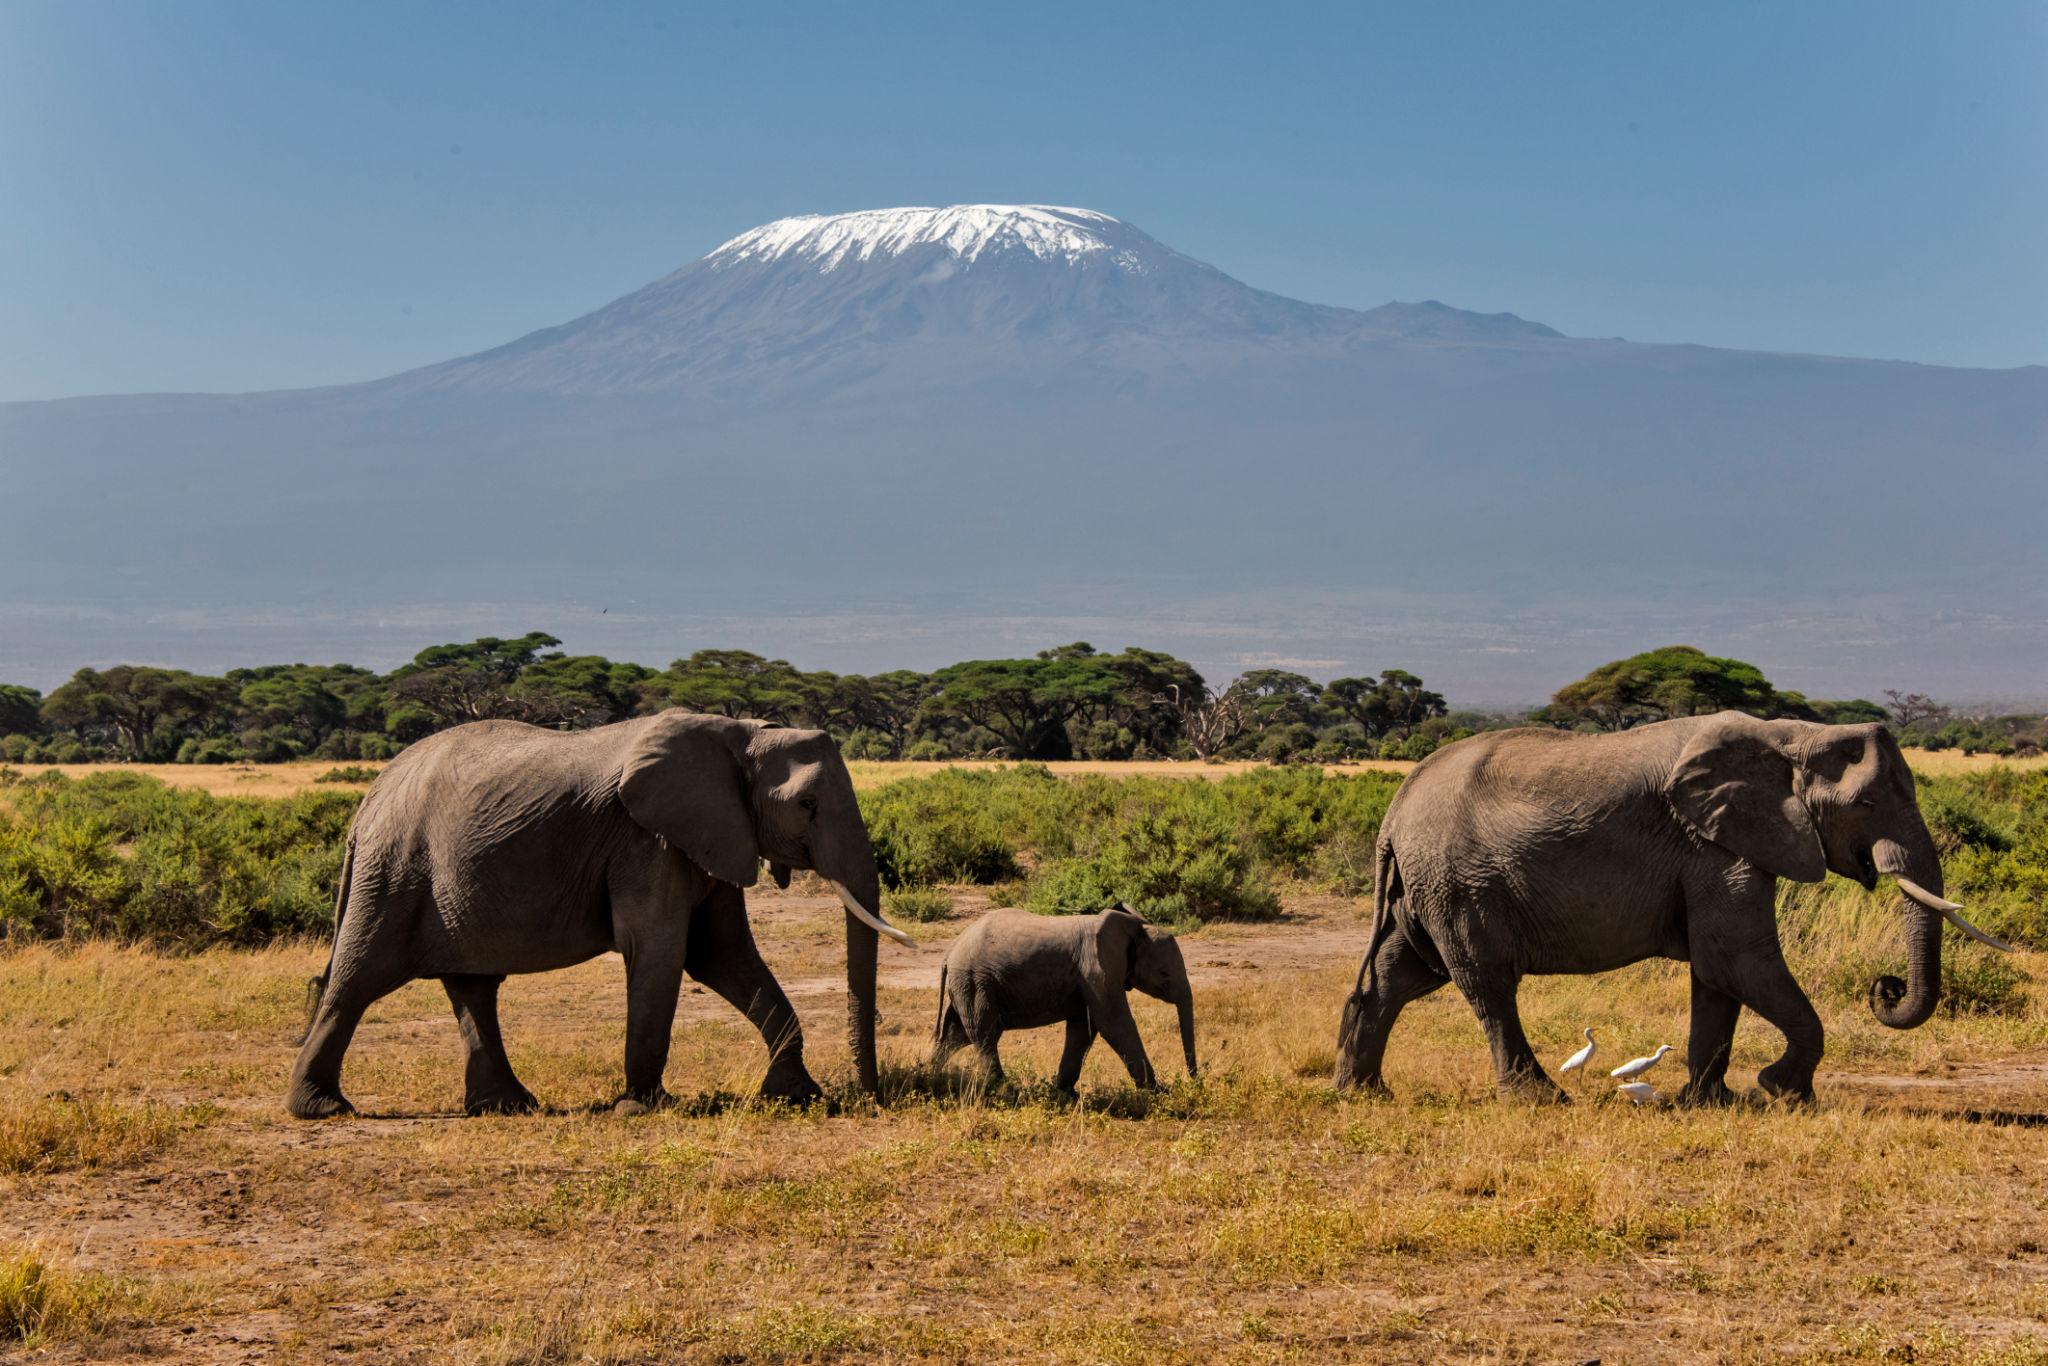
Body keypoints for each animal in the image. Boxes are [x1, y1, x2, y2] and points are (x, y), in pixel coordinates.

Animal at [285, 710, 914, 1119]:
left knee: (473, 988)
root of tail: (366, 803)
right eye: (806, 805)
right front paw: (642, 1109)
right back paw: (322, 1109)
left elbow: (724, 955)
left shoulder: (709, 835)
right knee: (358, 980)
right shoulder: (647, 840)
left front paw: (796, 1095)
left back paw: (508, 1107)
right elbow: (661, 951)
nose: (870, 1097)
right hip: (393, 872)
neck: (740, 733)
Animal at [930, 906, 1198, 1091]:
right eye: (1164, 973)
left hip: (967, 984)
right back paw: (1006, 1092)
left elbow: (1084, 1029)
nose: (1195, 1083)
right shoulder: (1096, 970)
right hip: (976, 981)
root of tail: (950, 950)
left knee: (956, 1035)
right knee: (984, 1034)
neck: (1133, 927)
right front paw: (1158, 1092)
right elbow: (1114, 1024)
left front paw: (1065, 1093)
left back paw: (930, 1077)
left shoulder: (1087, 978)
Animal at [1332, 711, 2011, 1104]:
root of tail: (1394, 812)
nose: (1886, 987)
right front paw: (1782, 1093)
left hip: (1428, 885)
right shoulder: (1713, 845)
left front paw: (1710, 1103)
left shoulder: (1722, 845)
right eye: (1867, 804)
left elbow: (1718, 976)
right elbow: (1737, 959)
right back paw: (1542, 1100)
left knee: (1400, 975)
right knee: (1488, 985)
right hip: (1459, 884)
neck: (1794, 733)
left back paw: (1362, 1093)